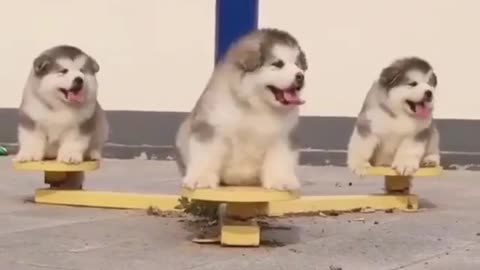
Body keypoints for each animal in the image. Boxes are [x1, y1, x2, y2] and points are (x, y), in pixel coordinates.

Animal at [175, 28, 308, 191]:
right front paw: (201, 178)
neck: (257, 105)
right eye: (278, 64)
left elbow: (281, 160)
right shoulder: (211, 127)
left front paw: (282, 180)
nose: (300, 76)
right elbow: (205, 155)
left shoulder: (284, 136)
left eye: (298, 65)